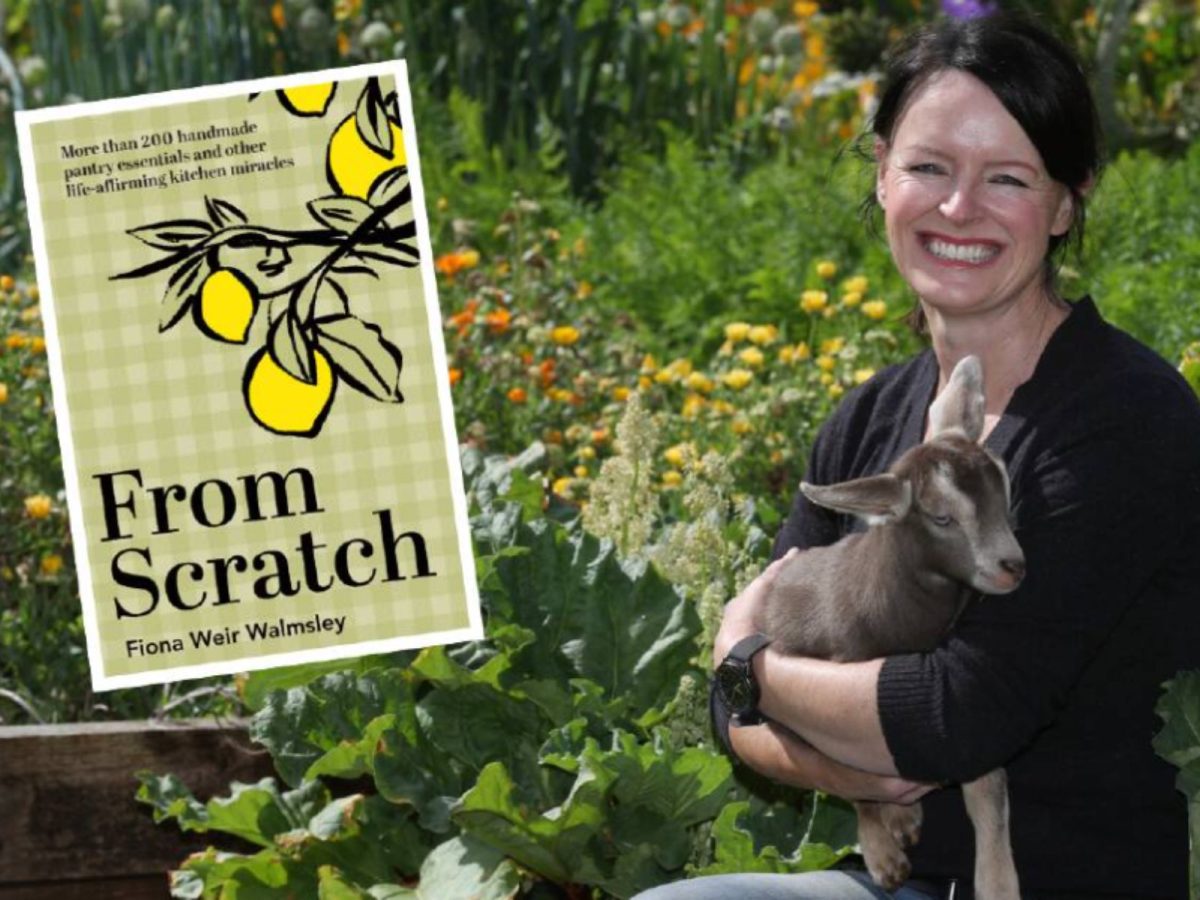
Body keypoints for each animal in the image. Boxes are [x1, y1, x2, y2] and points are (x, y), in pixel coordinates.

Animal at [758, 355, 1022, 900]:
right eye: (942, 518)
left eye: (1005, 488)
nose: (1012, 566)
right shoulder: (837, 676)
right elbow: (849, 774)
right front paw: (883, 859)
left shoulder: (964, 727)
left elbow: (988, 792)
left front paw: (998, 883)